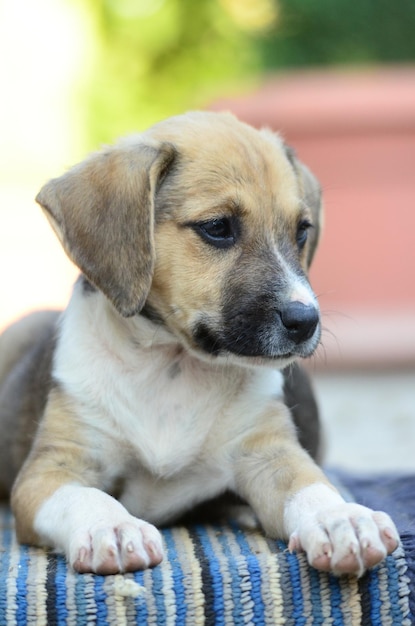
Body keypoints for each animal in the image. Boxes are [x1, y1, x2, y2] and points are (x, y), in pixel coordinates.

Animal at [0, 113, 398, 576]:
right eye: (218, 228)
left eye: (302, 232)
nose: (305, 321)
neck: (172, 365)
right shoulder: (51, 469)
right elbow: (84, 497)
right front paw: (111, 527)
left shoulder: (269, 452)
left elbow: (312, 487)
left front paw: (341, 519)